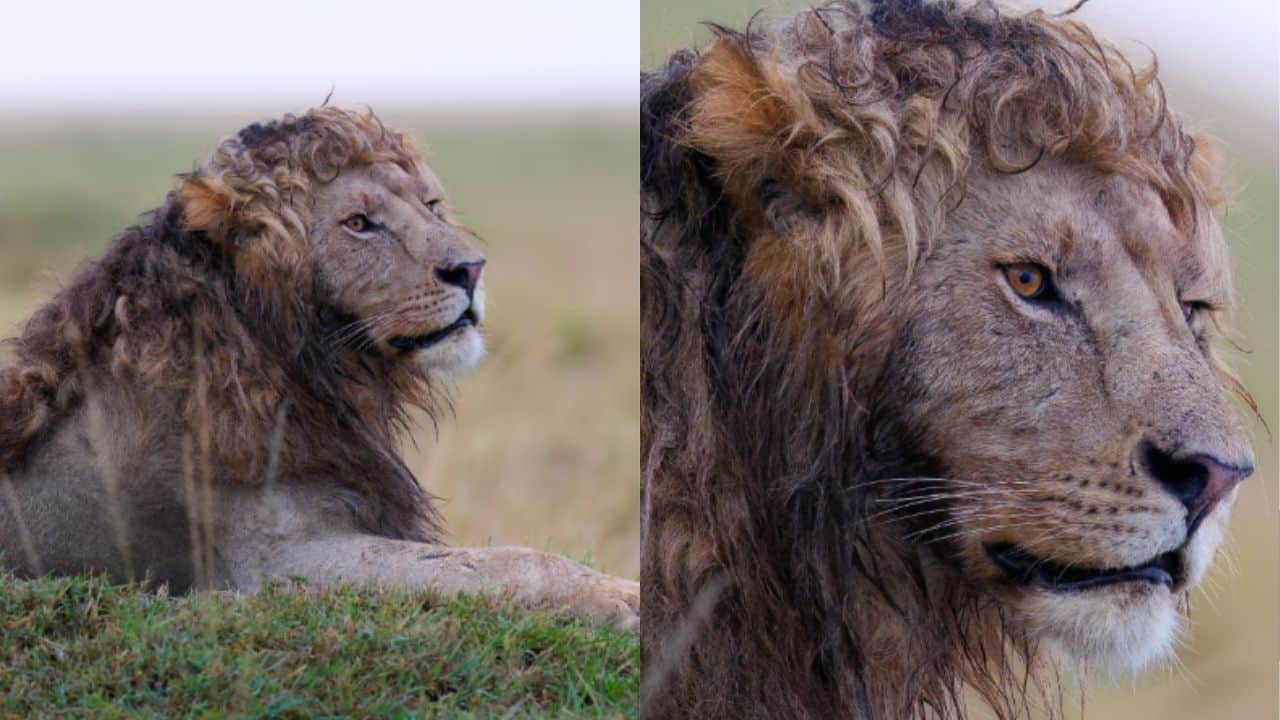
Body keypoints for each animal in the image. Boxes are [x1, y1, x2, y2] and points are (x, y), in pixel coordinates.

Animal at [0, 106, 638, 629]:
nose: (472, 269)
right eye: (358, 223)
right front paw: (621, 598)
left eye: (430, 206)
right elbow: (508, 562)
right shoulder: (278, 563)